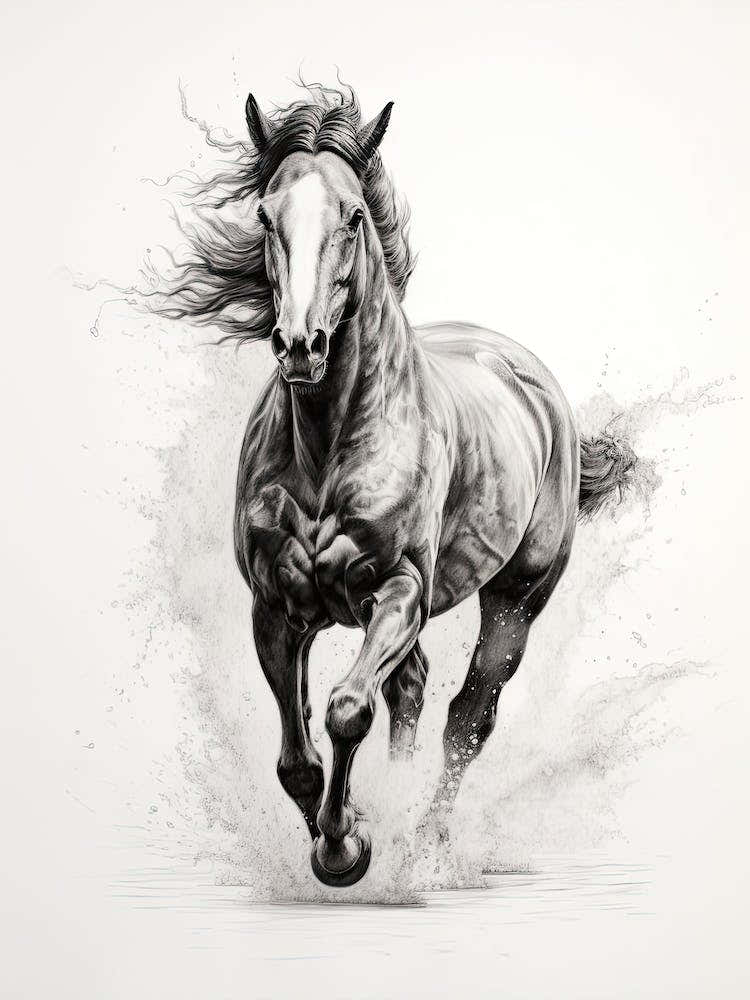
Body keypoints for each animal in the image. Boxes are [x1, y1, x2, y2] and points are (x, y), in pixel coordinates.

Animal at [160, 84, 635, 887]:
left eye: (353, 214)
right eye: (265, 213)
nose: (301, 347)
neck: (329, 450)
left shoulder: (399, 590)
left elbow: (348, 709)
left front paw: (347, 850)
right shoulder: (275, 609)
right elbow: (297, 760)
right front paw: (342, 838)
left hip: (515, 603)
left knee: (468, 717)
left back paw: (427, 846)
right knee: (410, 690)